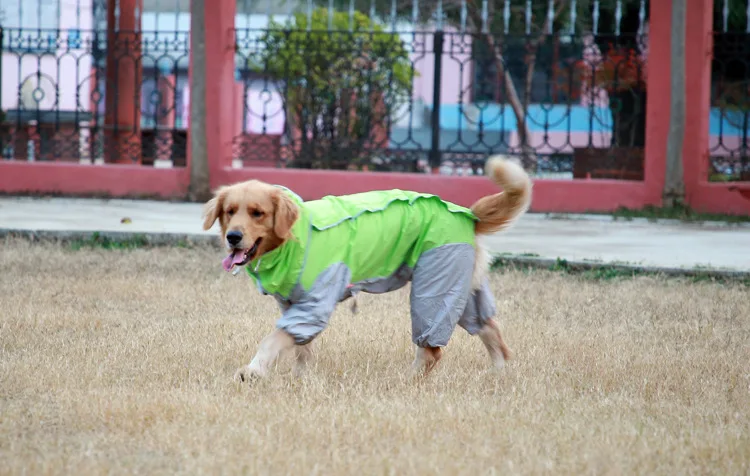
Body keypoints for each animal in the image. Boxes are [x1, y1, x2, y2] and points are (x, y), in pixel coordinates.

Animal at [203, 156, 532, 384]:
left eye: (257, 213)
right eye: (230, 211)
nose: (233, 237)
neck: (294, 239)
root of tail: (468, 214)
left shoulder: (314, 305)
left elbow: (273, 339)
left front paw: (253, 370)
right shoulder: (292, 305)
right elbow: (301, 347)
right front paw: (300, 378)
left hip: (434, 288)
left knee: (431, 350)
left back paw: (405, 381)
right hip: (460, 290)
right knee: (490, 330)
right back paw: (497, 374)